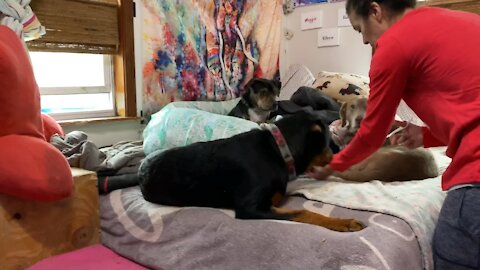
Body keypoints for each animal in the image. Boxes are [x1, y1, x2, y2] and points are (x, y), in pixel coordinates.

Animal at [139, 112, 364, 232]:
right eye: (327, 142)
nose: (335, 155)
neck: (278, 151)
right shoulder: (248, 207)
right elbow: (303, 212)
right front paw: (343, 222)